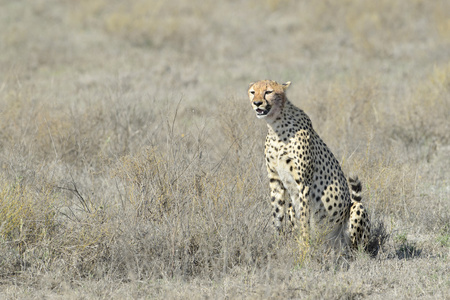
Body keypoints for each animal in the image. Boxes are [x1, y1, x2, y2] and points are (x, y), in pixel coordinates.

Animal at [248, 79, 370, 251]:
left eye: (268, 92)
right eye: (253, 92)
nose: (257, 103)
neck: (275, 125)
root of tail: (332, 242)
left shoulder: (303, 182)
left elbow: (304, 217)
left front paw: (304, 247)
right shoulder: (275, 181)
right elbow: (277, 215)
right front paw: (277, 245)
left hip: (356, 211)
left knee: (357, 248)